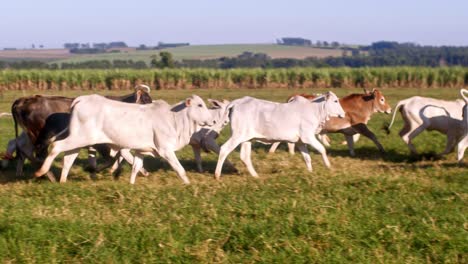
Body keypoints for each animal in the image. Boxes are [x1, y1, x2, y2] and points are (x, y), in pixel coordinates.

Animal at [34, 94, 214, 184]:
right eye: (199, 105)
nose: (212, 121)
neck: (174, 119)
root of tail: (81, 99)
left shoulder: (141, 151)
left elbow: (135, 168)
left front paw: (131, 184)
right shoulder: (166, 150)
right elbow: (179, 169)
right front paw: (188, 184)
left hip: (78, 140)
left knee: (68, 158)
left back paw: (63, 181)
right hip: (80, 138)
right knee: (56, 147)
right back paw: (41, 171)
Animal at [215, 91, 344, 179]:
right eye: (335, 101)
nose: (343, 113)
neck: (315, 110)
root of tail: (237, 102)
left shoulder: (300, 141)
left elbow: (307, 157)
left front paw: (310, 171)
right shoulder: (308, 137)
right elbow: (322, 149)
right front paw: (328, 166)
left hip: (247, 139)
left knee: (244, 157)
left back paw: (255, 175)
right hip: (237, 135)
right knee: (224, 149)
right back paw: (217, 175)